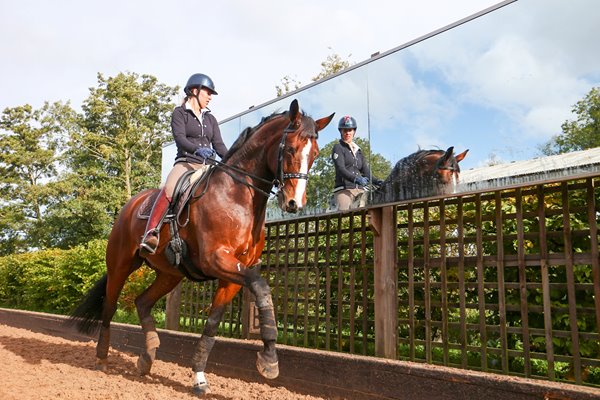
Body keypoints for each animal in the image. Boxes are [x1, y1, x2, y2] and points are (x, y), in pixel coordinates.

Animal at [69, 99, 336, 394]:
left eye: (315, 154)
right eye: (289, 149)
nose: (294, 203)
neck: (238, 196)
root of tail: (130, 205)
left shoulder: (233, 274)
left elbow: (212, 324)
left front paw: (199, 376)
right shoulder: (216, 259)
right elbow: (261, 287)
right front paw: (269, 359)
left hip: (170, 275)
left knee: (142, 302)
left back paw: (147, 358)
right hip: (121, 264)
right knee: (110, 306)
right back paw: (102, 359)